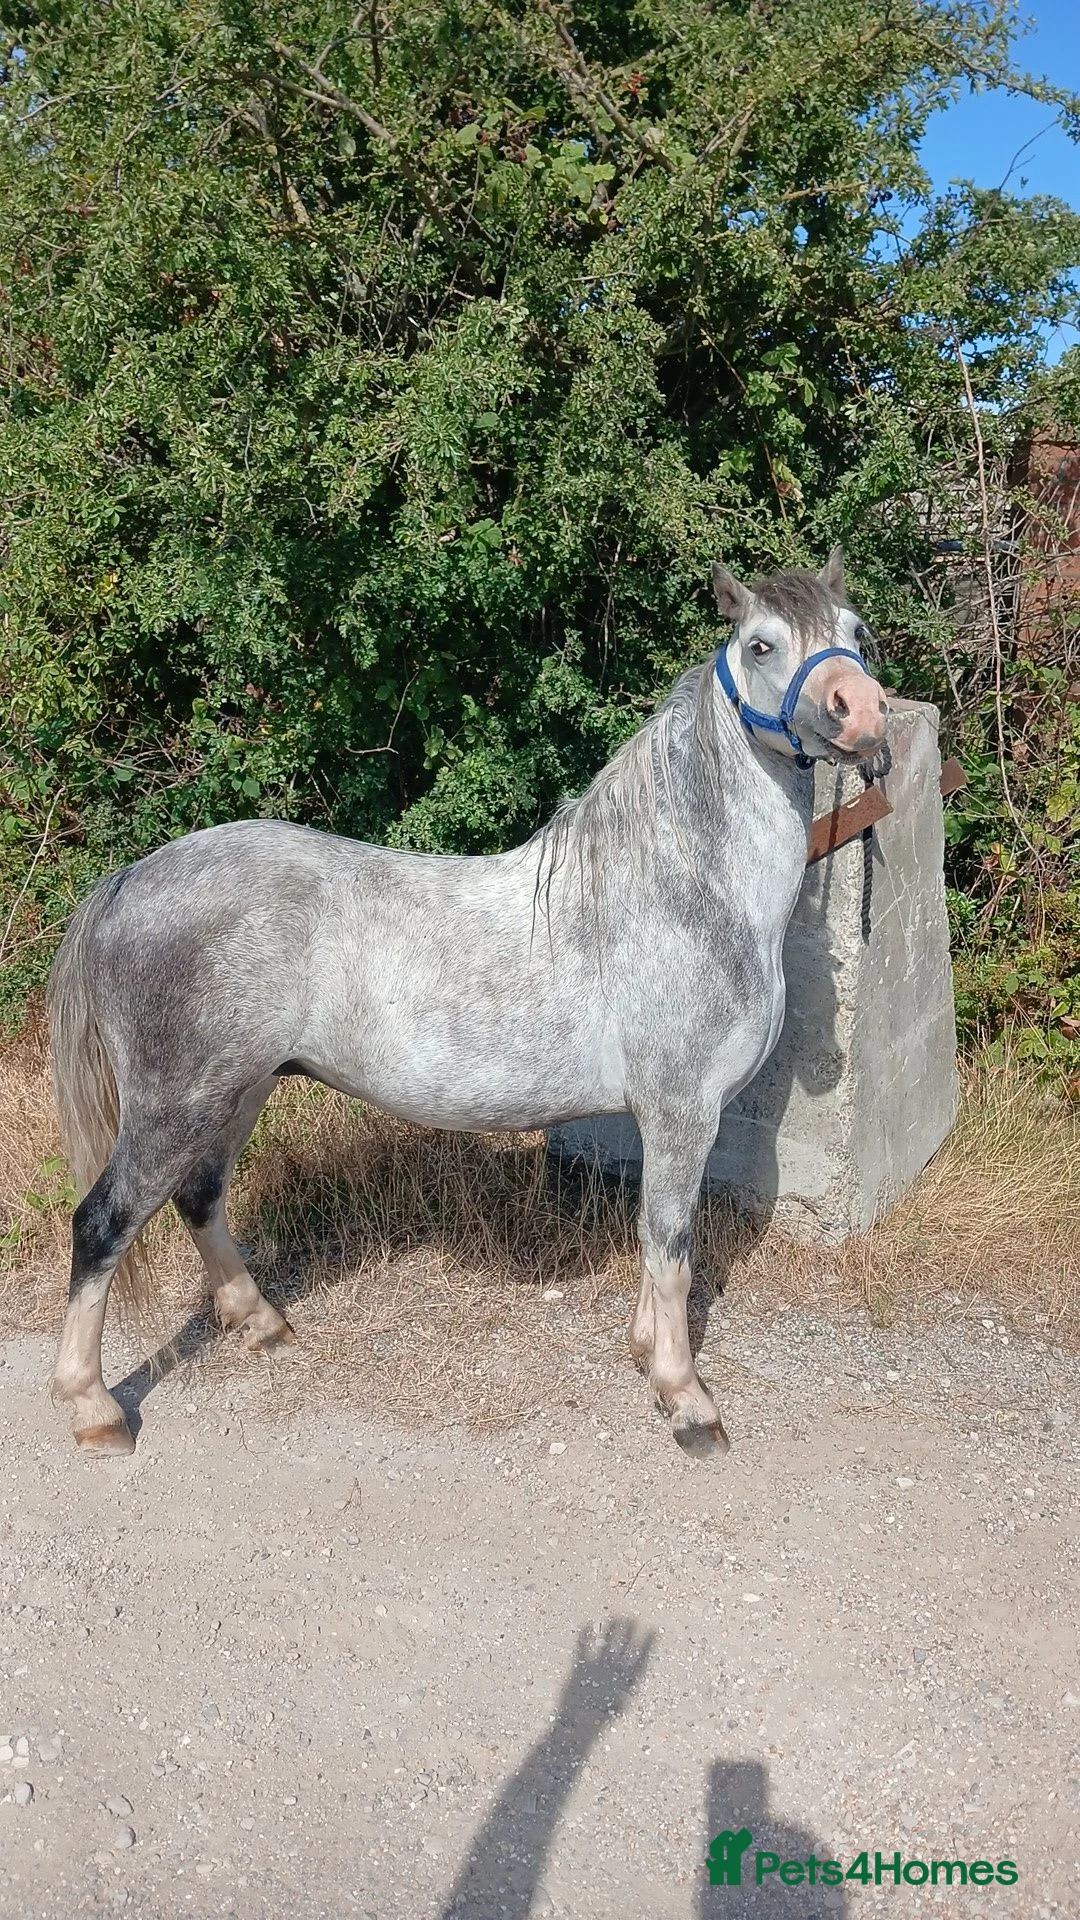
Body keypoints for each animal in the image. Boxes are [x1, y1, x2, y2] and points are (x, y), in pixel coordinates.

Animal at [47, 546, 888, 1460]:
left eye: (854, 632)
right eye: (764, 645)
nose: (865, 712)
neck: (679, 889)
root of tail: (131, 879)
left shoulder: (669, 1117)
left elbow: (656, 1239)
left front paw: (643, 1352)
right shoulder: (681, 1107)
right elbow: (672, 1245)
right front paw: (685, 1398)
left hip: (241, 1090)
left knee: (200, 1198)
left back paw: (263, 1323)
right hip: (176, 1105)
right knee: (102, 1225)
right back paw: (91, 1408)